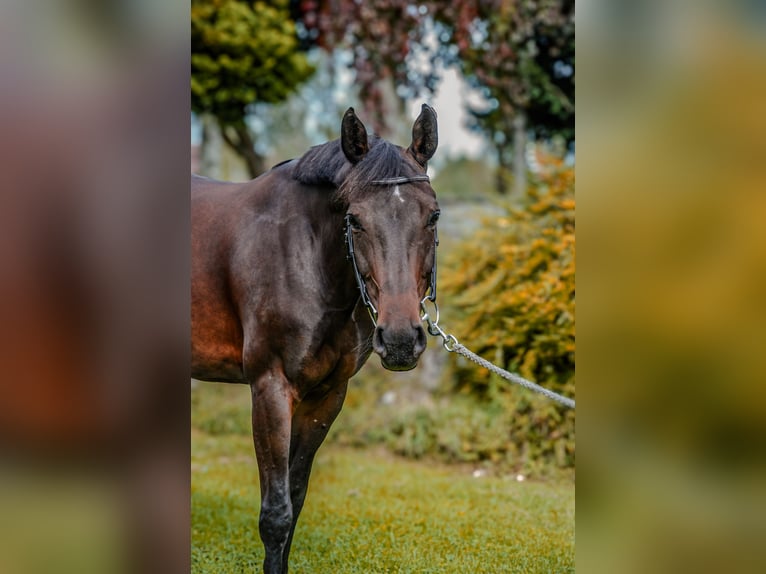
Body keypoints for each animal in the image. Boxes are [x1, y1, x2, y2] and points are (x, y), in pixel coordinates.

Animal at [191, 104, 440, 573]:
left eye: (433, 215)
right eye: (354, 220)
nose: (400, 339)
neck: (303, 255)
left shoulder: (325, 397)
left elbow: (296, 498)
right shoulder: (270, 388)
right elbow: (276, 514)